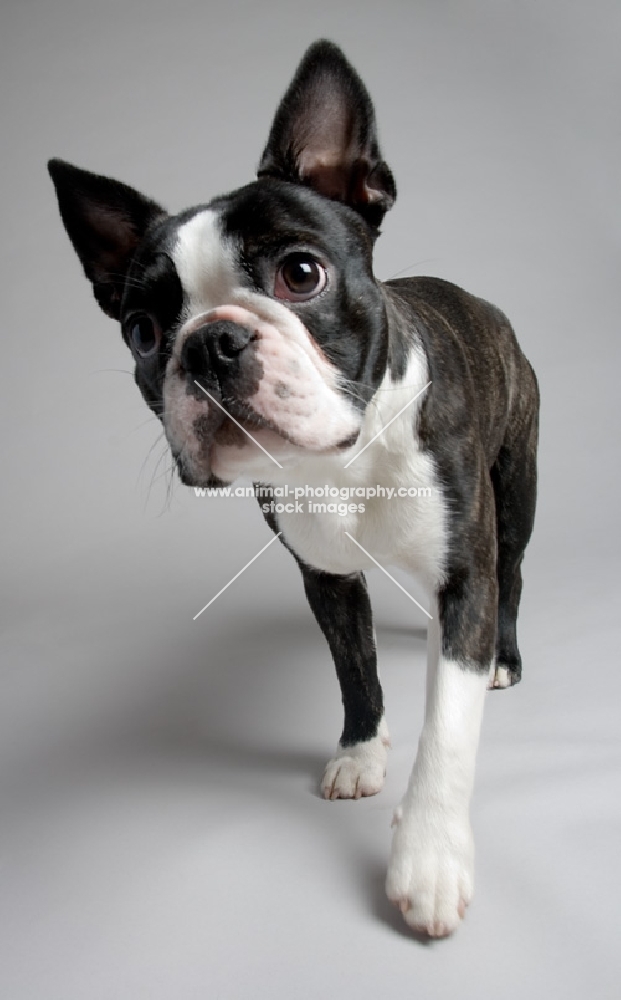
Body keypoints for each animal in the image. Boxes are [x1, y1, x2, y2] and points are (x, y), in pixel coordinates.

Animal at [47, 39, 536, 940]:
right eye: (142, 331)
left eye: (299, 273)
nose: (208, 344)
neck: (340, 458)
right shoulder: (325, 578)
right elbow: (355, 669)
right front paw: (360, 750)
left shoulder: (465, 575)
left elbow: (447, 729)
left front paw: (429, 856)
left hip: (516, 494)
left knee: (513, 575)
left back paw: (504, 658)